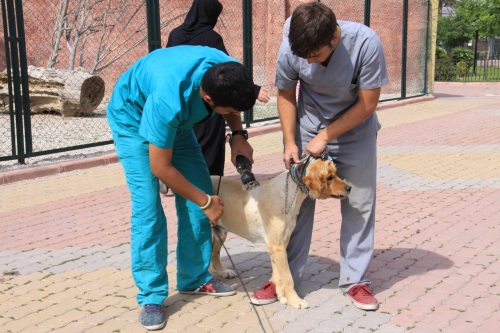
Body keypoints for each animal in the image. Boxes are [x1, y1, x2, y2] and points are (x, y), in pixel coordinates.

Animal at [211, 157, 352, 308]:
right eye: (329, 177)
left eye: (335, 174)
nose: (349, 188)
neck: (289, 194)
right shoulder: (276, 246)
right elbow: (288, 277)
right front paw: (295, 300)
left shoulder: (279, 244)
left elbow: (278, 275)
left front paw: (281, 296)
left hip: (220, 232)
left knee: (214, 255)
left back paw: (223, 271)